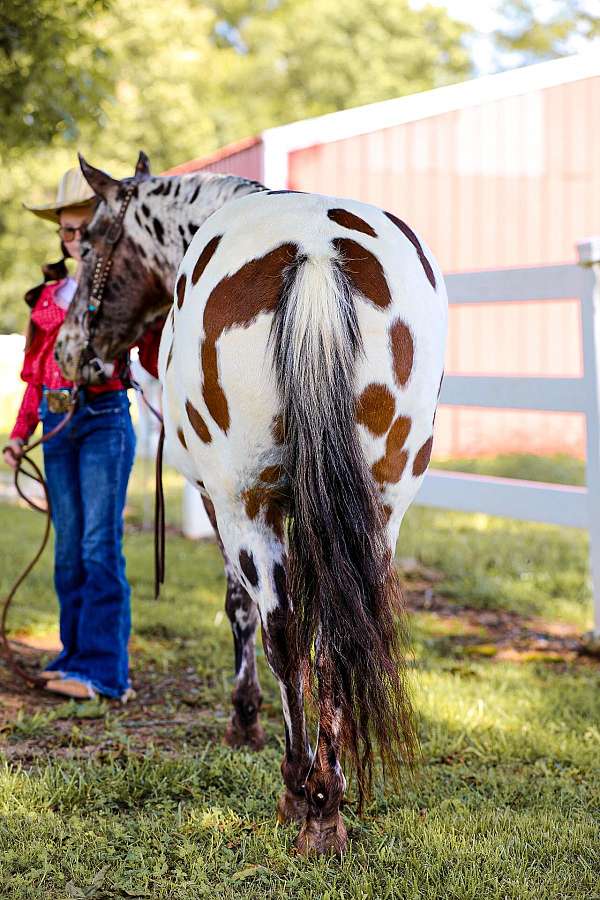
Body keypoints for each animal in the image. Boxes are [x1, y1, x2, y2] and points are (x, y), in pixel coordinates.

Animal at [56, 151, 448, 856]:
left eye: (94, 242)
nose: (73, 352)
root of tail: (317, 251)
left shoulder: (219, 501)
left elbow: (243, 609)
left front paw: (245, 720)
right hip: (381, 508)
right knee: (339, 634)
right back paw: (328, 798)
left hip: (248, 505)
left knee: (283, 630)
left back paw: (303, 795)